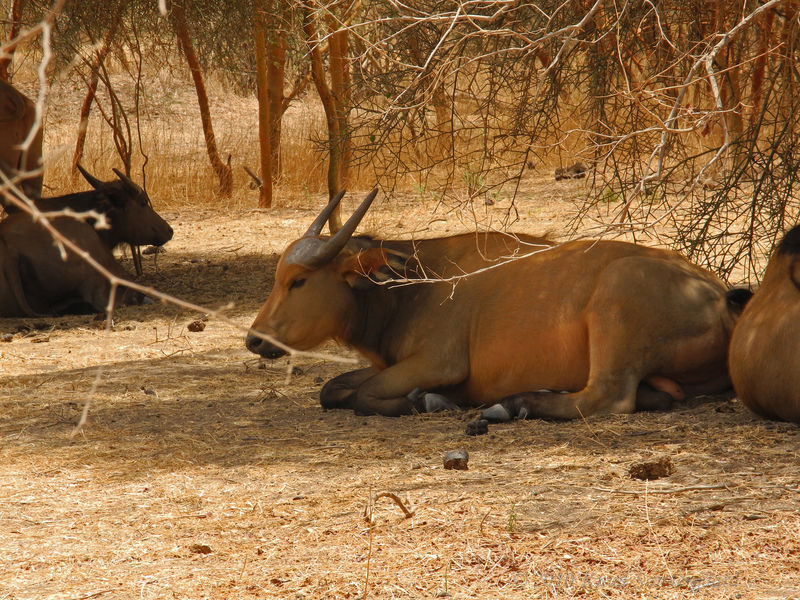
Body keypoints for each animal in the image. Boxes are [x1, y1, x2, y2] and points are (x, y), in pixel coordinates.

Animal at [245, 190, 744, 420]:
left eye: (298, 281)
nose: (254, 340)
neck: (416, 285)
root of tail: (718, 296)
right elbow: (334, 389)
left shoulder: (438, 363)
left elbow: (366, 396)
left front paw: (430, 401)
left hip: (616, 304)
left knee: (609, 398)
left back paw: (513, 403)